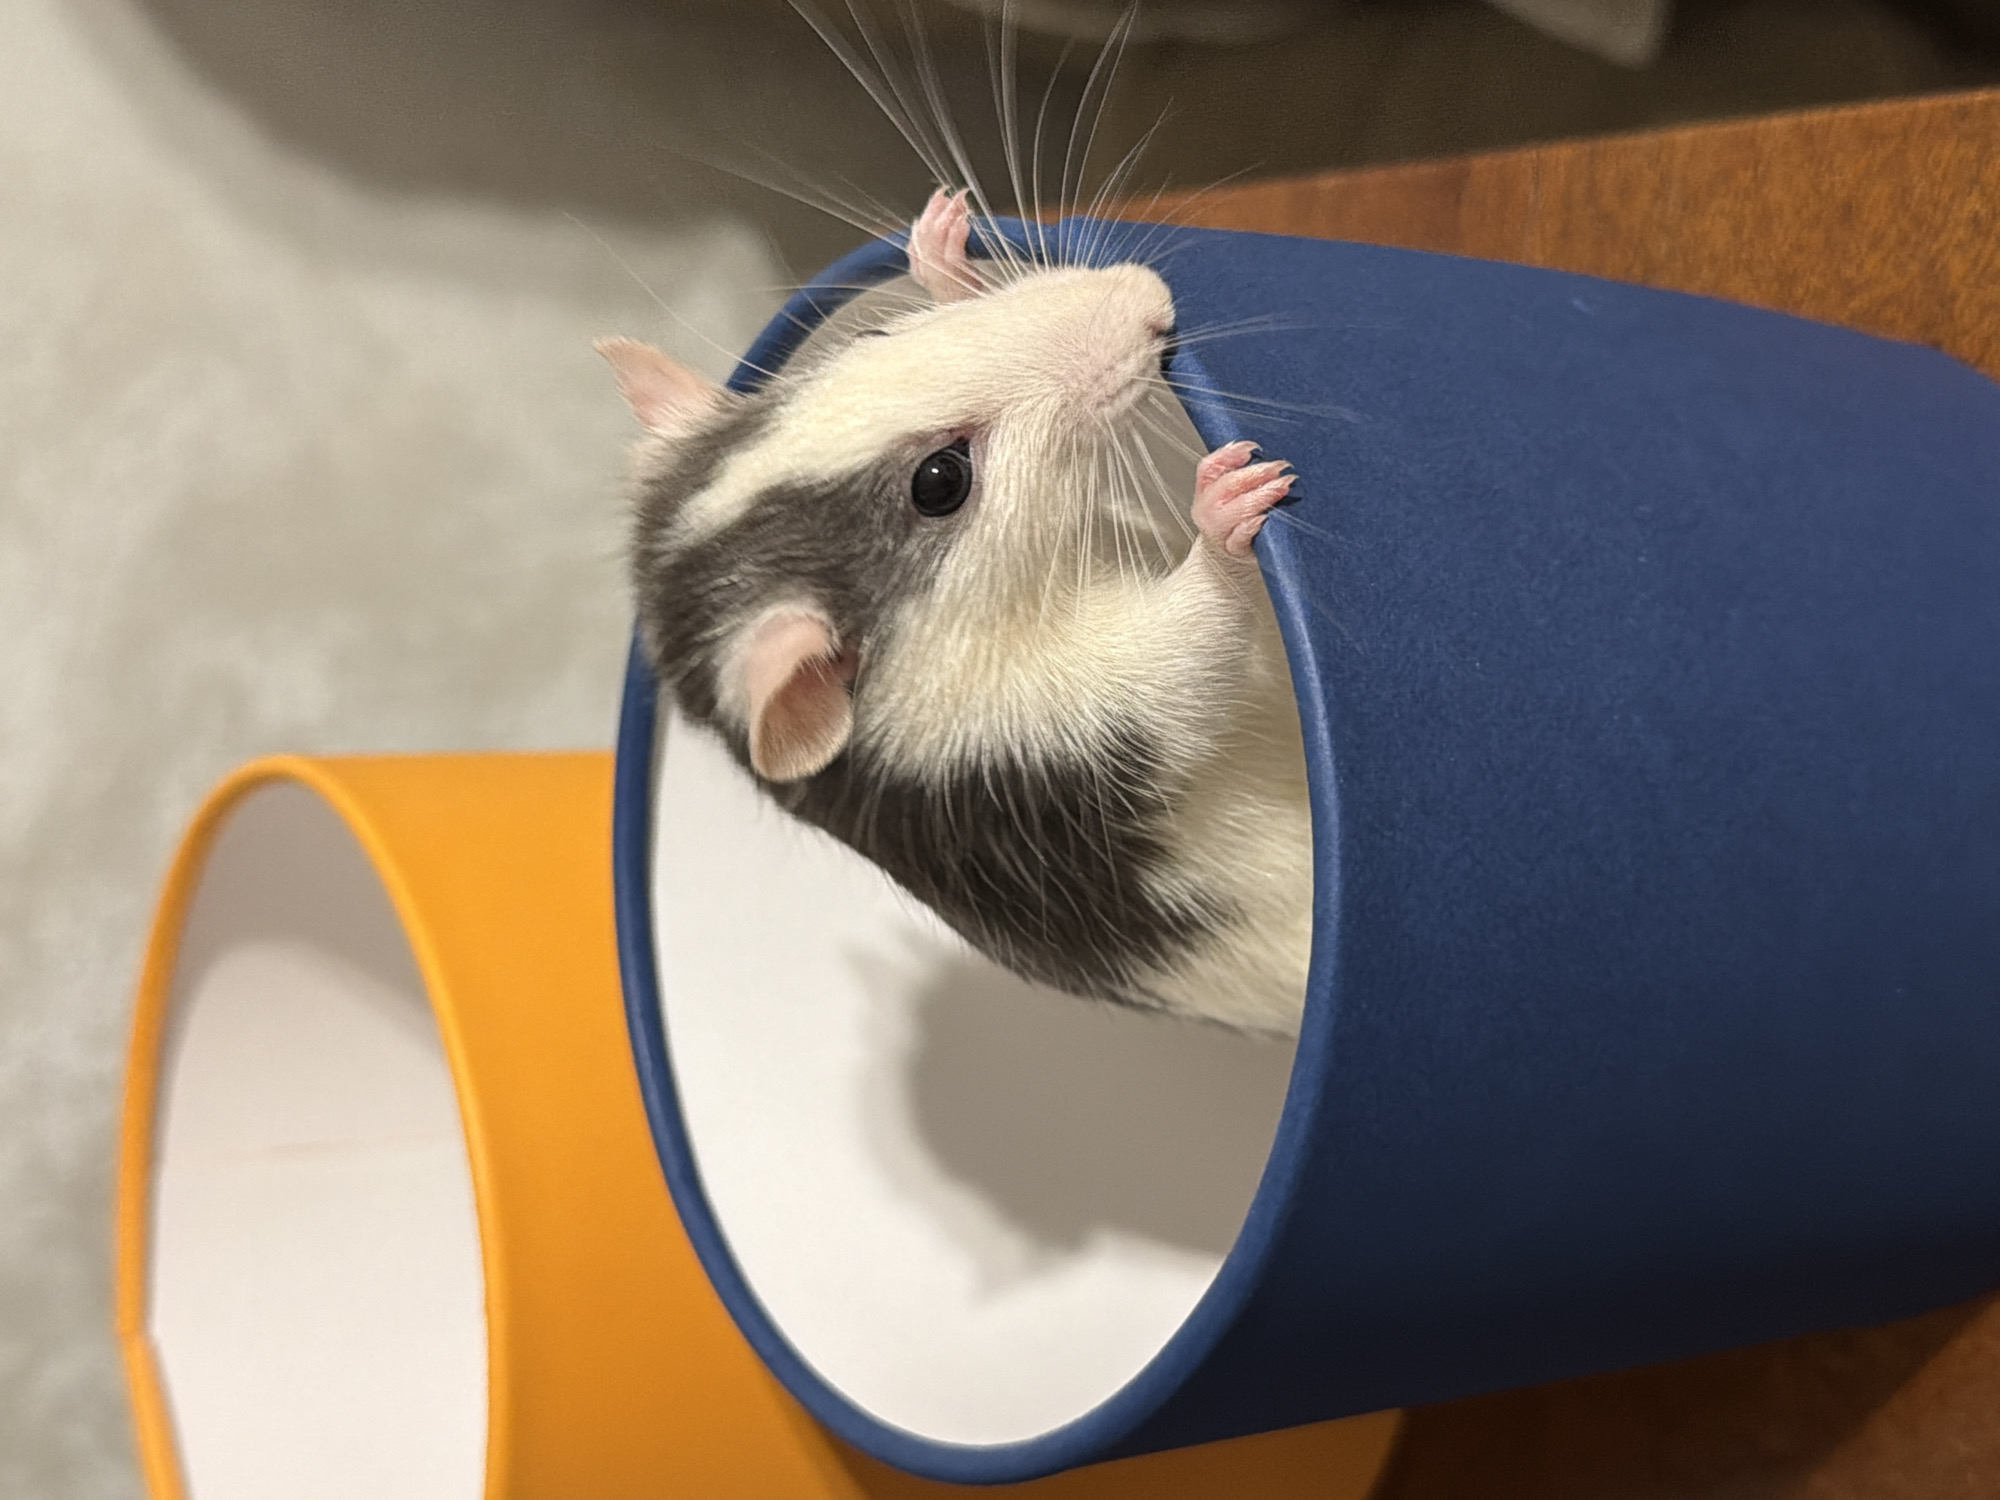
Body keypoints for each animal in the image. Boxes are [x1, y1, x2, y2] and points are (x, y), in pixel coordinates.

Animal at [602, 189, 1313, 1036]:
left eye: (873, 335)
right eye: (941, 480)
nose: (1146, 301)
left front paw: (941, 259)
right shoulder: (1021, 733)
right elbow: (1178, 668)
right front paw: (1218, 520)